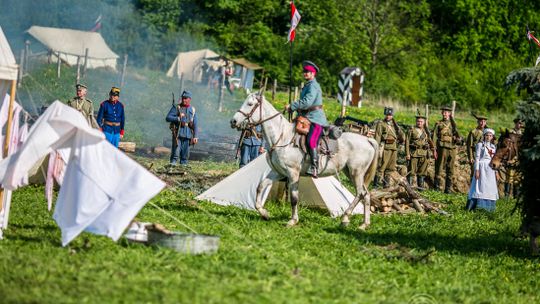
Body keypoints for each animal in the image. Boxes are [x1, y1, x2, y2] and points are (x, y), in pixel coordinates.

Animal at [230, 94, 378, 229]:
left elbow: (294, 198)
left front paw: (292, 221)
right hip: (350, 172)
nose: (233, 121)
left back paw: (345, 218)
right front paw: (264, 213)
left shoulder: (293, 173)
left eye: (250, 104)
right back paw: (364, 224)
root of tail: (367, 139)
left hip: (356, 172)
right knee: (366, 195)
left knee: (360, 193)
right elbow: (260, 186)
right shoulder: (278, 172)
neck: (282, 137)